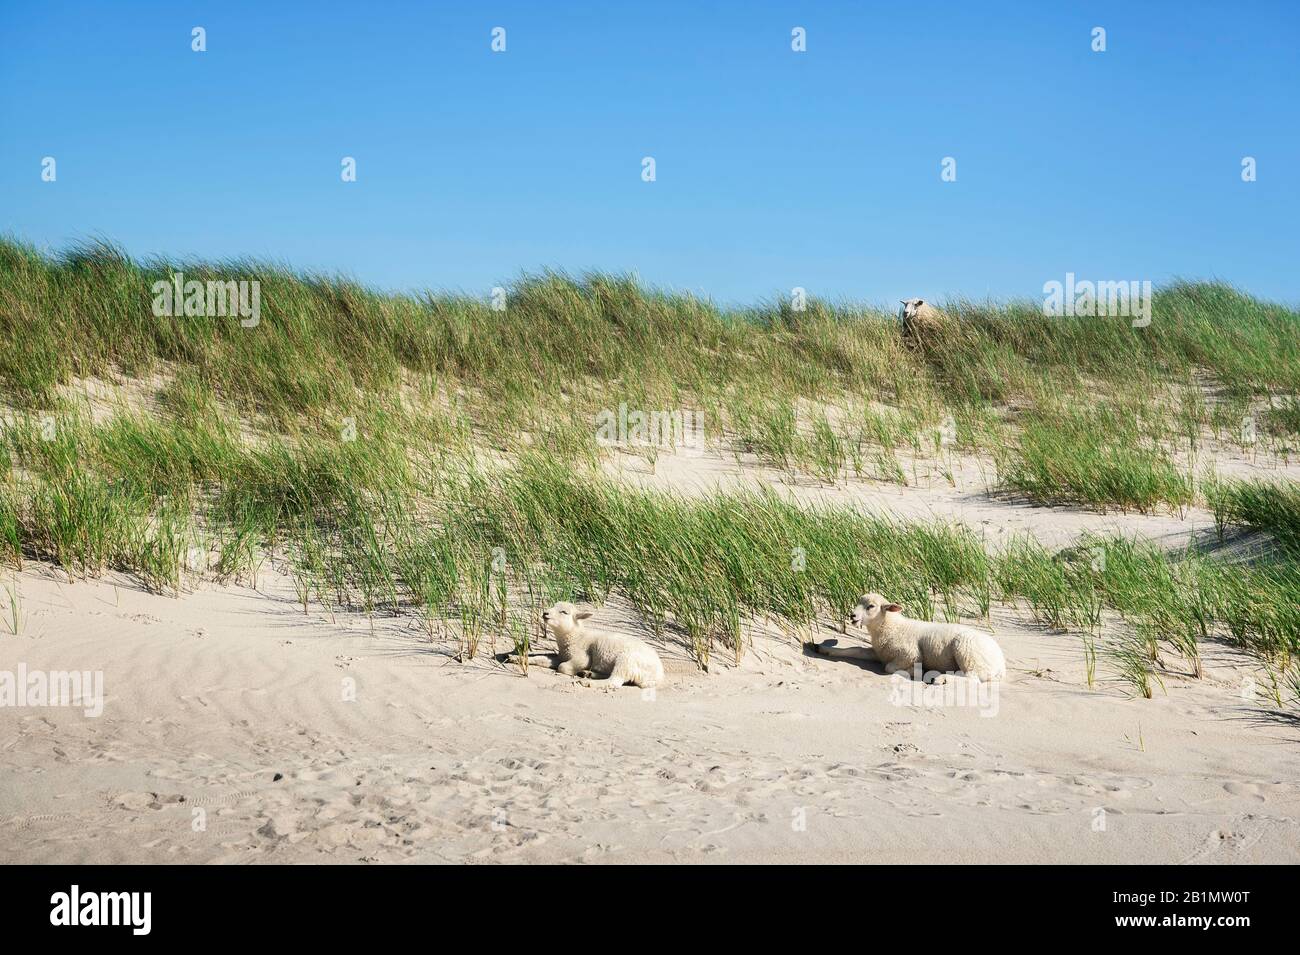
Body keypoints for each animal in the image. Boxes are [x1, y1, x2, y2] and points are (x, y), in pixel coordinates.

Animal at [512, 602, 664, 689]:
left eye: (564, 612)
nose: (545, 613)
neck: (576, 636)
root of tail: (657, 676)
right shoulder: (562, 656)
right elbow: (541, 659)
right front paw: (516, 658)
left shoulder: (582, 657)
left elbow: (563, 667)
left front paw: (571, 672)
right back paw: (588, 674)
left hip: (627, 660)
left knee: (614, 681)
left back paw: (587, 682)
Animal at [809, 592, 1006, 683]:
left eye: (871, 606)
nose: (852, 616)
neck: (892, 626)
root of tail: (1001, 662)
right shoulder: (878, 652)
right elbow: (854, 650)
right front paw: (824, 649)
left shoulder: (909, 654)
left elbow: (890, 667)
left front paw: (915, 671)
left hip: (967, 650)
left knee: (973, 677)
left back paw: (940, 678)